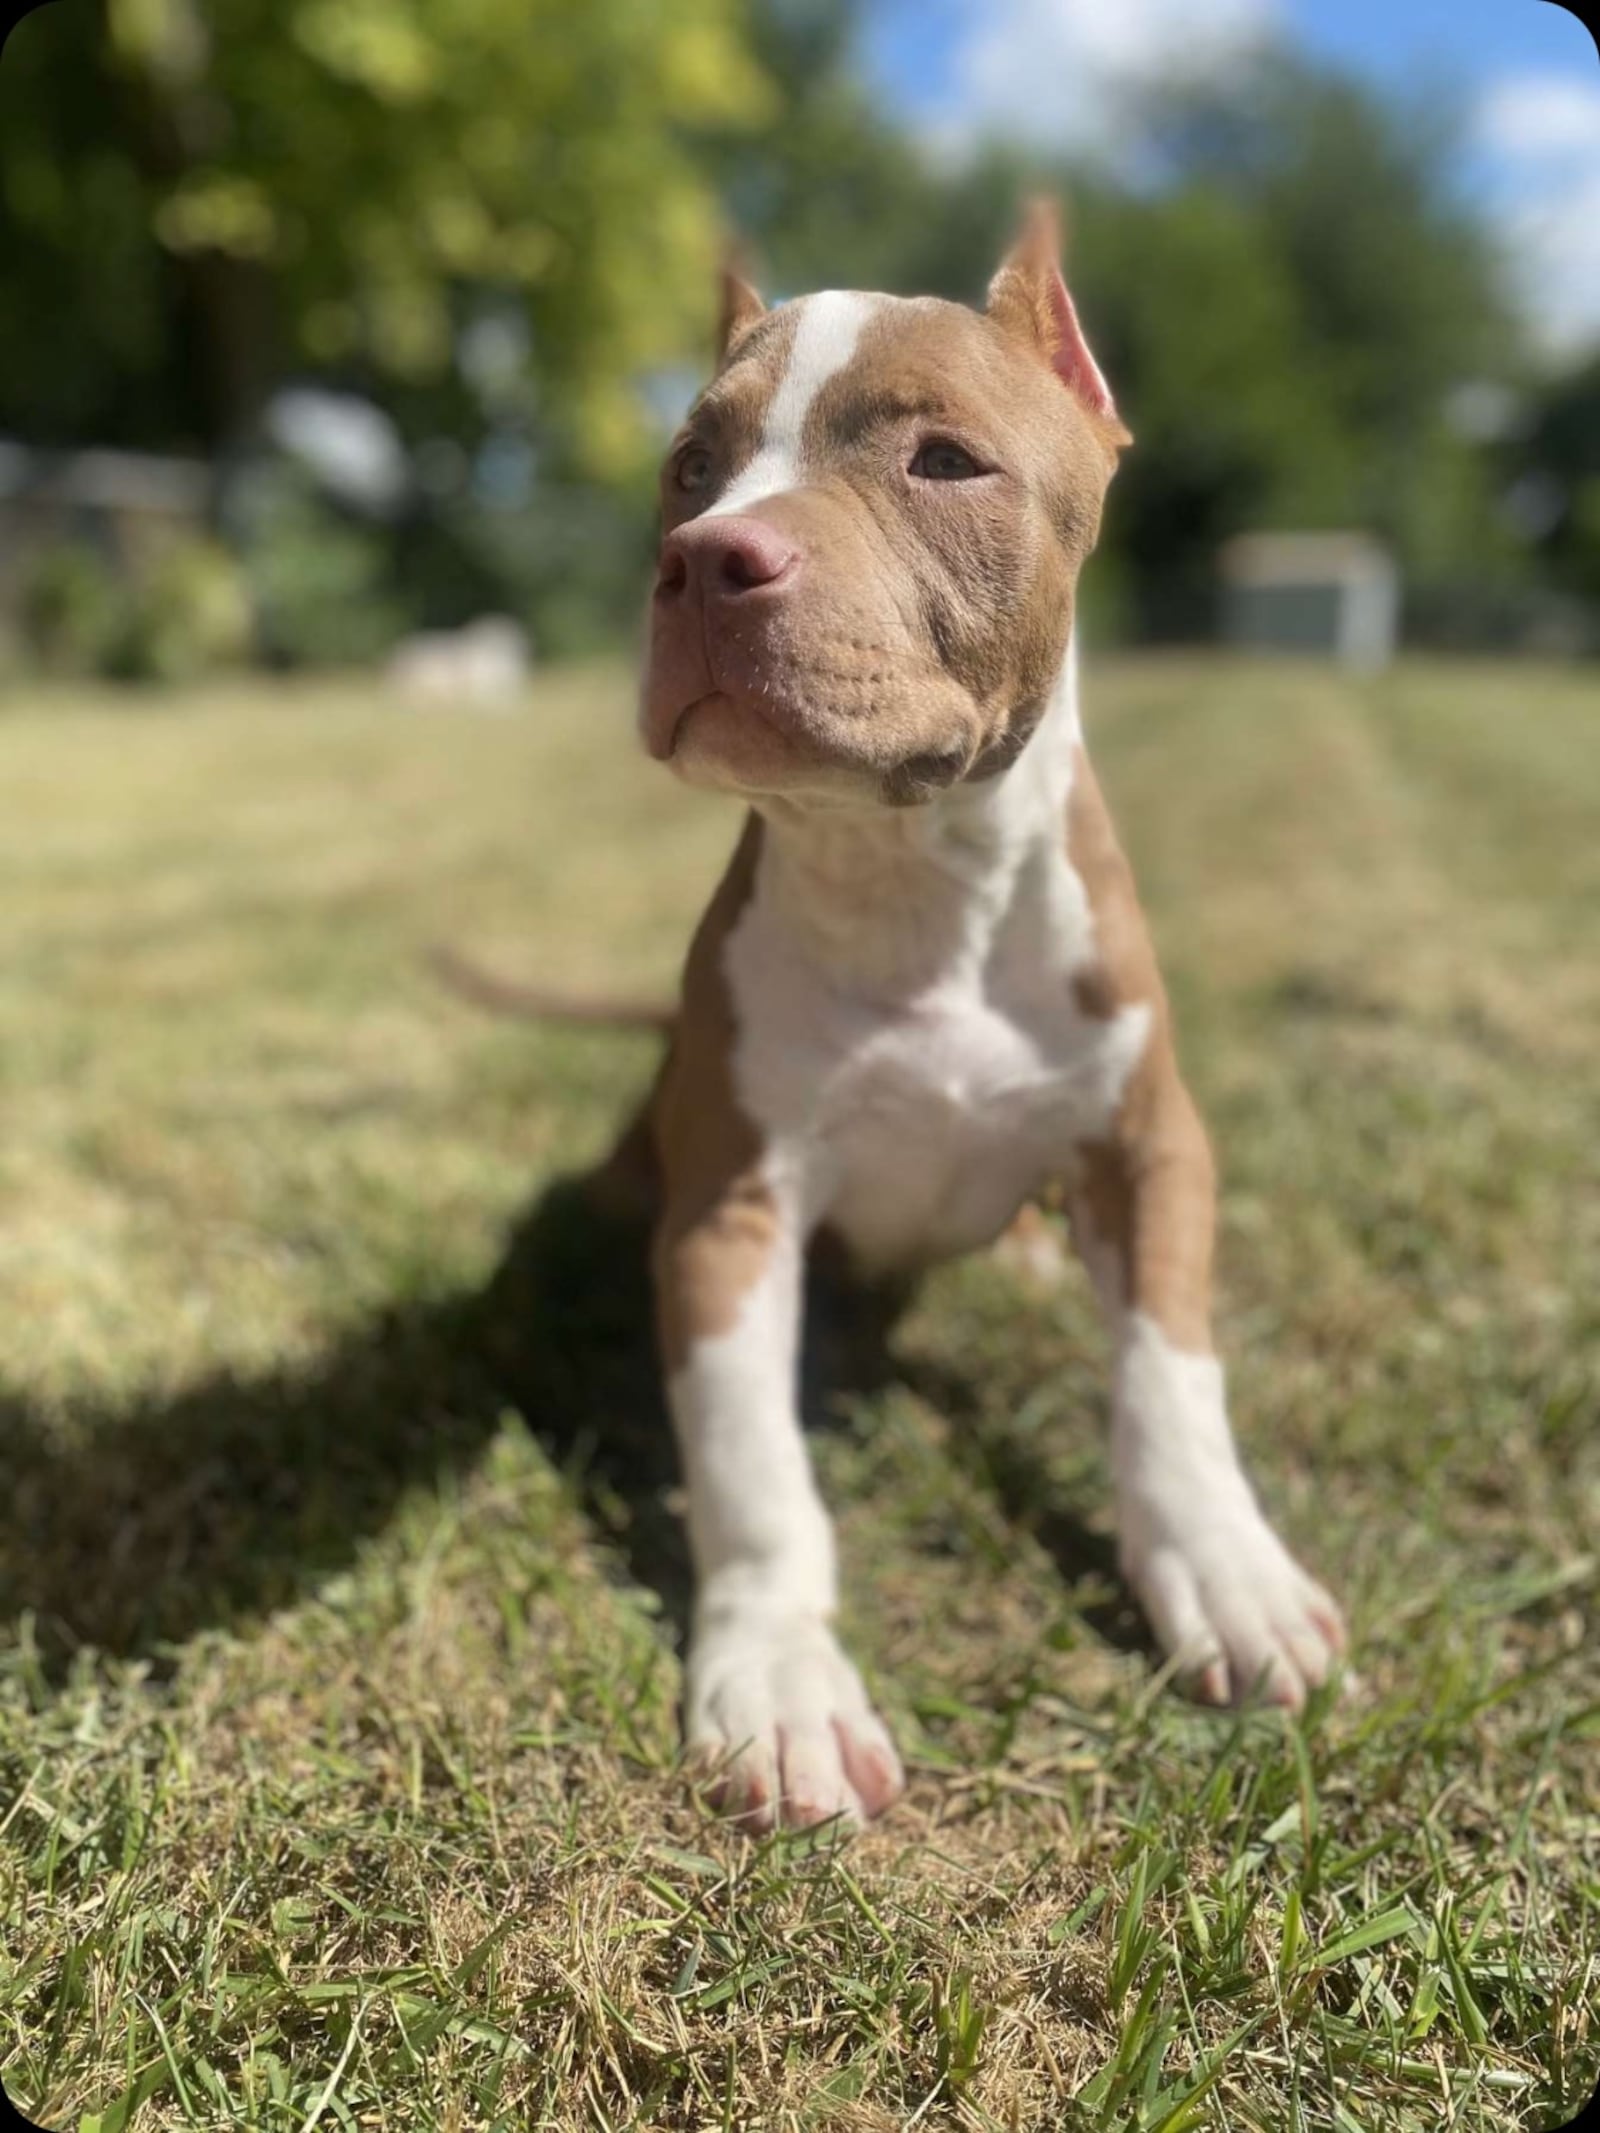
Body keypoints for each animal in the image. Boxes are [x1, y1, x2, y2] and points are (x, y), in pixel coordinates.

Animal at [627, 207, 1339, 1825]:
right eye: (689, 466)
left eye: (943, 460)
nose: (702, 559)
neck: (915, 879)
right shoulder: (728, 1212)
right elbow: (752, 1465)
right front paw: (782, 1679)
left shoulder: (1150, 1147)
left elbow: (1169, 1377)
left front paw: (1226, 1572)